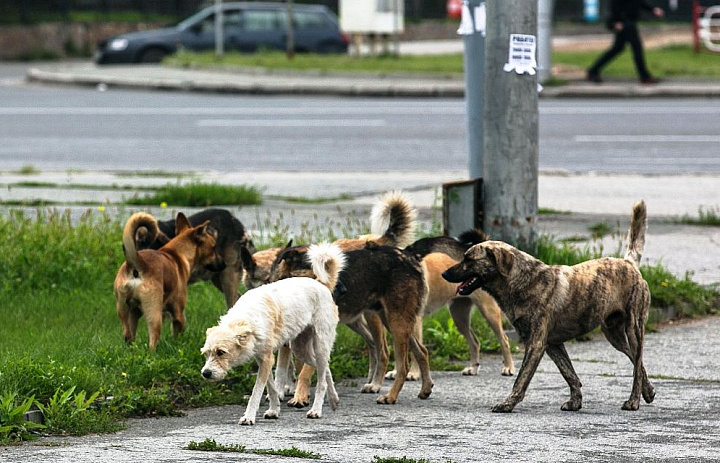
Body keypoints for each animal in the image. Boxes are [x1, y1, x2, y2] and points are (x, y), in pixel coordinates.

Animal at [114, 212, 225, 350]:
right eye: (213, 247)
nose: (224, 264)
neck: (177, 254)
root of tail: (137, 263)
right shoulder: (178, 314)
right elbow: (178, 333)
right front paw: (178, 344)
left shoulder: (135, 313)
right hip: (154, 313)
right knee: (152, 340)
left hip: (124, 310)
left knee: (128, 335)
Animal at [200, 245, 346, 426]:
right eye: (206, 354)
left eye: (221, 352)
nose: (205, 373)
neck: (247, 318)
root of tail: (321, 284)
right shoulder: (263, 359)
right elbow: (271, 387)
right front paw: (274, 410)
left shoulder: (267, 359)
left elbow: (257, 391)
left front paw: (249, 416)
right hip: (301, 349)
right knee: (325, 370)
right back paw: (333, 399)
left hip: (319, 345)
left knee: (321, 381)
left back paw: (316, 410)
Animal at [442, 200, 656, 414]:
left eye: (469, 259)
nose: (444, 273)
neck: (522, 280)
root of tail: (629, 263)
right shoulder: (553, 344)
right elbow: (569, 374)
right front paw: (575, 402)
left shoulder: (535, 344)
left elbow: (521, 379)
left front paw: (507, 403)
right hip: (614, 335)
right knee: (637, 361)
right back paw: (648, 391)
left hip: (634, 329)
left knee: (637, 364)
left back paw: (634, 400)